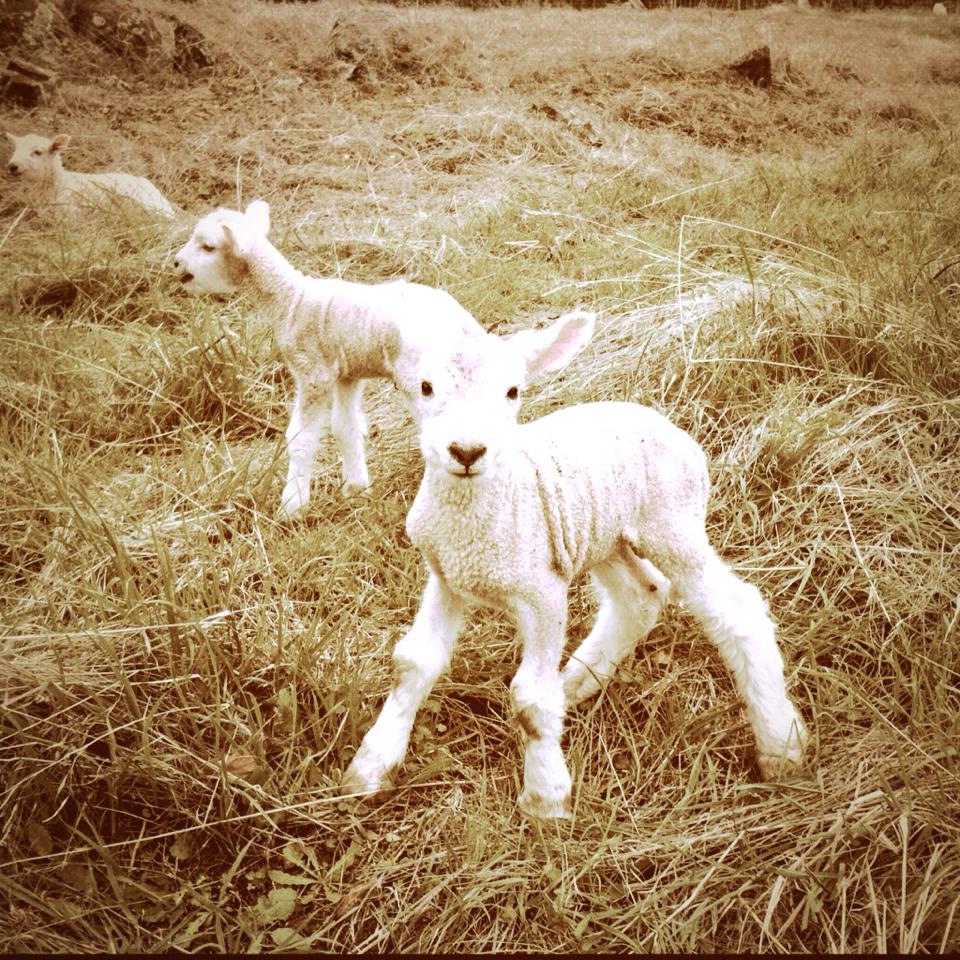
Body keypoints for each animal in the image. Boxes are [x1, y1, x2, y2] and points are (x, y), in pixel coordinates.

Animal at [172, 199, 503, 517]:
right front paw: (356, 489)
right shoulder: (347, 373)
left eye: (208, 246)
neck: (289, 299)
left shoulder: (312, 372)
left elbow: (301, 438)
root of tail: (466, 329)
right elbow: (346, 428)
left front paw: (292, 506)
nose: (176, 263)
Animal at [341, 312, 809, 818]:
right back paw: (575, 683)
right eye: (425, 387)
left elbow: (529, 697)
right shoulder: (446, 577)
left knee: (738, 611)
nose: (466, 452)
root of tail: (661, 420)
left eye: (513, 391)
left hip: (673, 524)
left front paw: (545, 800)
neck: (479, 514)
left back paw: (781, 747)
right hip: (604, 537)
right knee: (640, 597)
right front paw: (369, 768)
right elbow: (413, 663)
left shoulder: (541, 591)